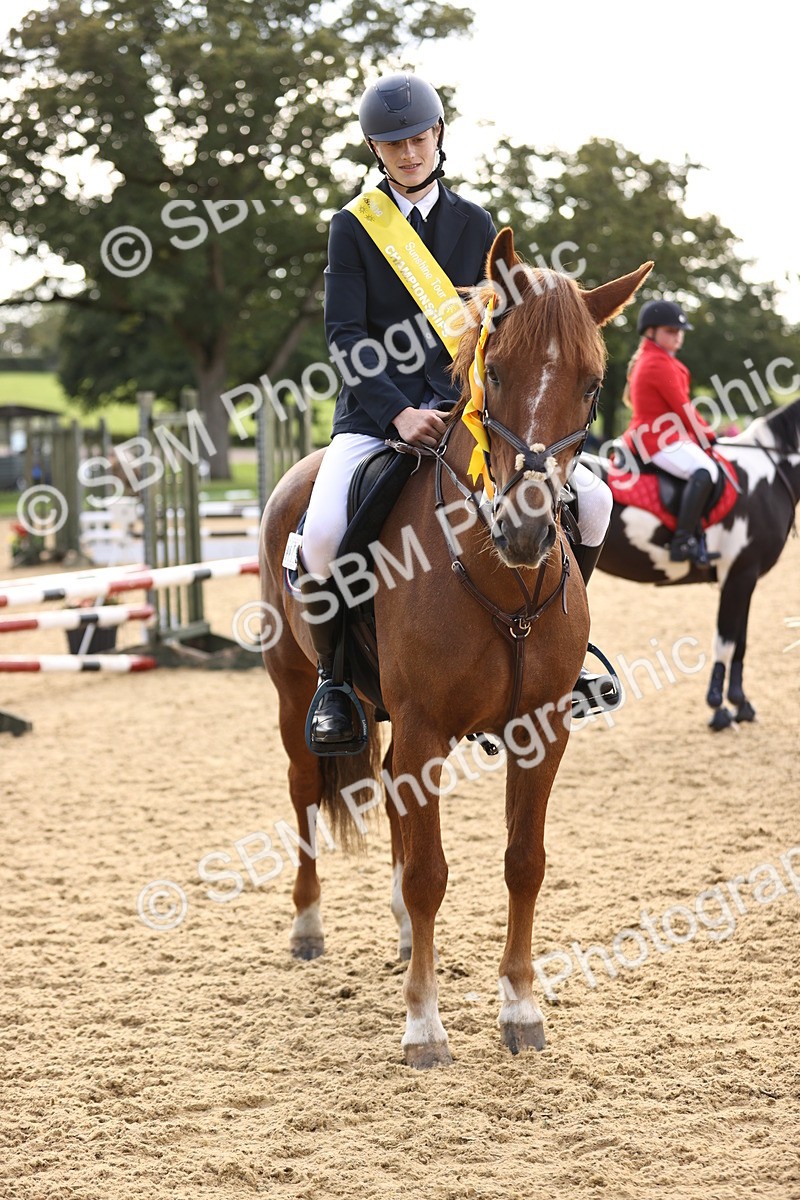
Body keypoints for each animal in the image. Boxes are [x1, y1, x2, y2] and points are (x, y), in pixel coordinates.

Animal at [259, 228, 652, 1067]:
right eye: (493, 371)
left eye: (594, 385)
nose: (527, 531)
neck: (501, 579)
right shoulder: (427, 726)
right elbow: (431, 875)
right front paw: (423, 1027)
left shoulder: (540, 730)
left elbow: (523, 863)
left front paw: (520, 1009)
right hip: (294, 689)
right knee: (306, 788)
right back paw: (308, 926)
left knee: (390, 801)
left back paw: (408, 941)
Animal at [582, 398, 800, 729]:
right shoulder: (740, 575)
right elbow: (725, 642)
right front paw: (719, 708)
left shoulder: (743, 577)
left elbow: (740, 642)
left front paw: (741, 703)